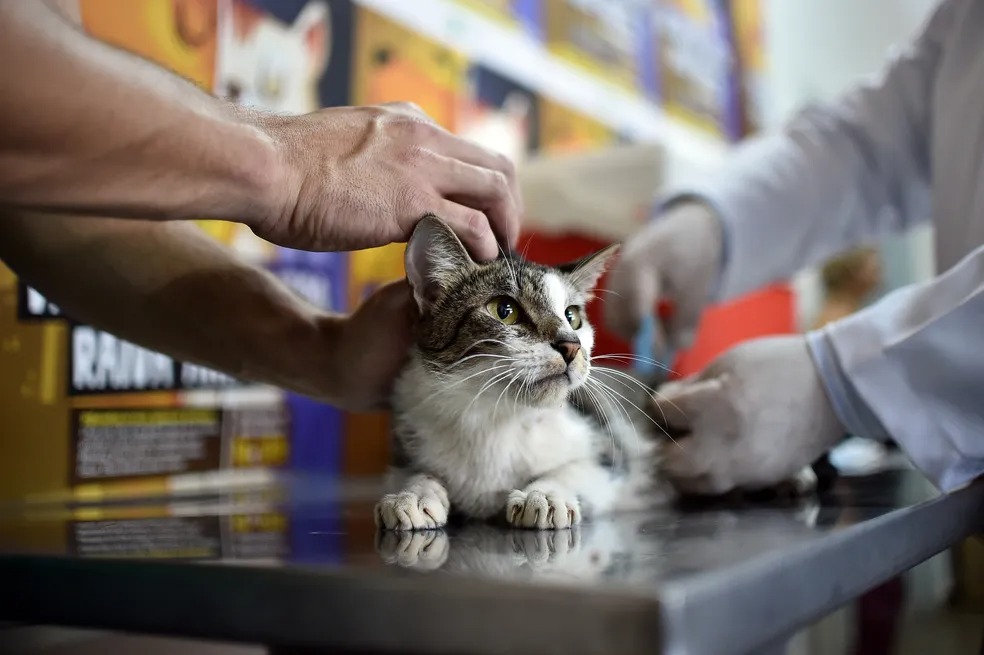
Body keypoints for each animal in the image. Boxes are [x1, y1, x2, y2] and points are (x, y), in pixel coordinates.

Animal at [372, 215, 672, 532]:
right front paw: (412, 494)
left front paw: (545, 494)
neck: (495, 416)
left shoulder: (610, 445)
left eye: (572, 316)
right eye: (505, 310)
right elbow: (412, 470)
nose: (572, 345)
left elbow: (581, 467)